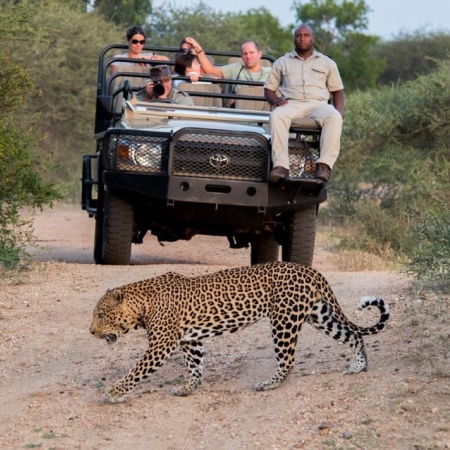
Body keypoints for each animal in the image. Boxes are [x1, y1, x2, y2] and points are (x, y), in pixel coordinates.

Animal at [89, 262, 388, 402]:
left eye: (100, 314)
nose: (91, 332)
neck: (142, 304)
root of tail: (310, 271)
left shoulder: (161, 345)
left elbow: (136, 371)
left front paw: (113, 392)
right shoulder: (190, 340)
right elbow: (195, 366)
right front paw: (188, 388)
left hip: (283, 320)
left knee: (288, 360)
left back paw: (268, 384)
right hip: (319, 314)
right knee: (354, 335)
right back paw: (358, 366)